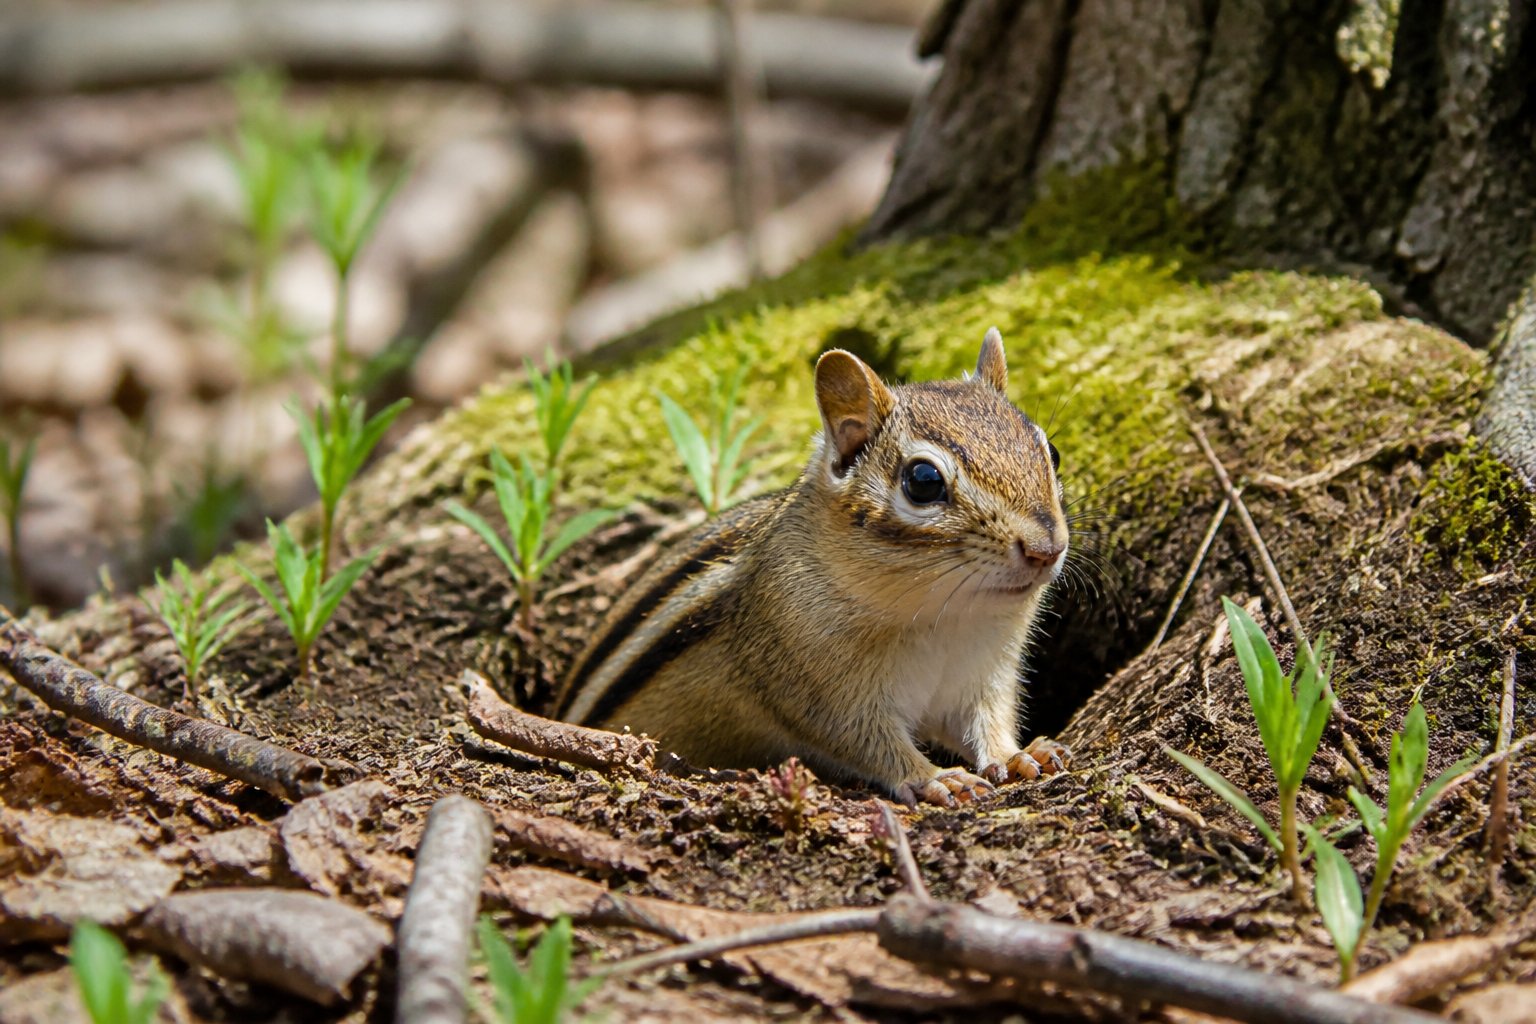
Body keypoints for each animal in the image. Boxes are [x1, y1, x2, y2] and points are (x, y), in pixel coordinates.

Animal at [554, 328, 1071, 807]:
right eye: (923, 481)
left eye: (1053, 452)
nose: (1046, 548)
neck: (948, 616)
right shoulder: (819, 687)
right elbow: (868, 743)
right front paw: (934, 777)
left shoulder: (984, 674)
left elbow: (986, 720)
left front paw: (1015, 755)